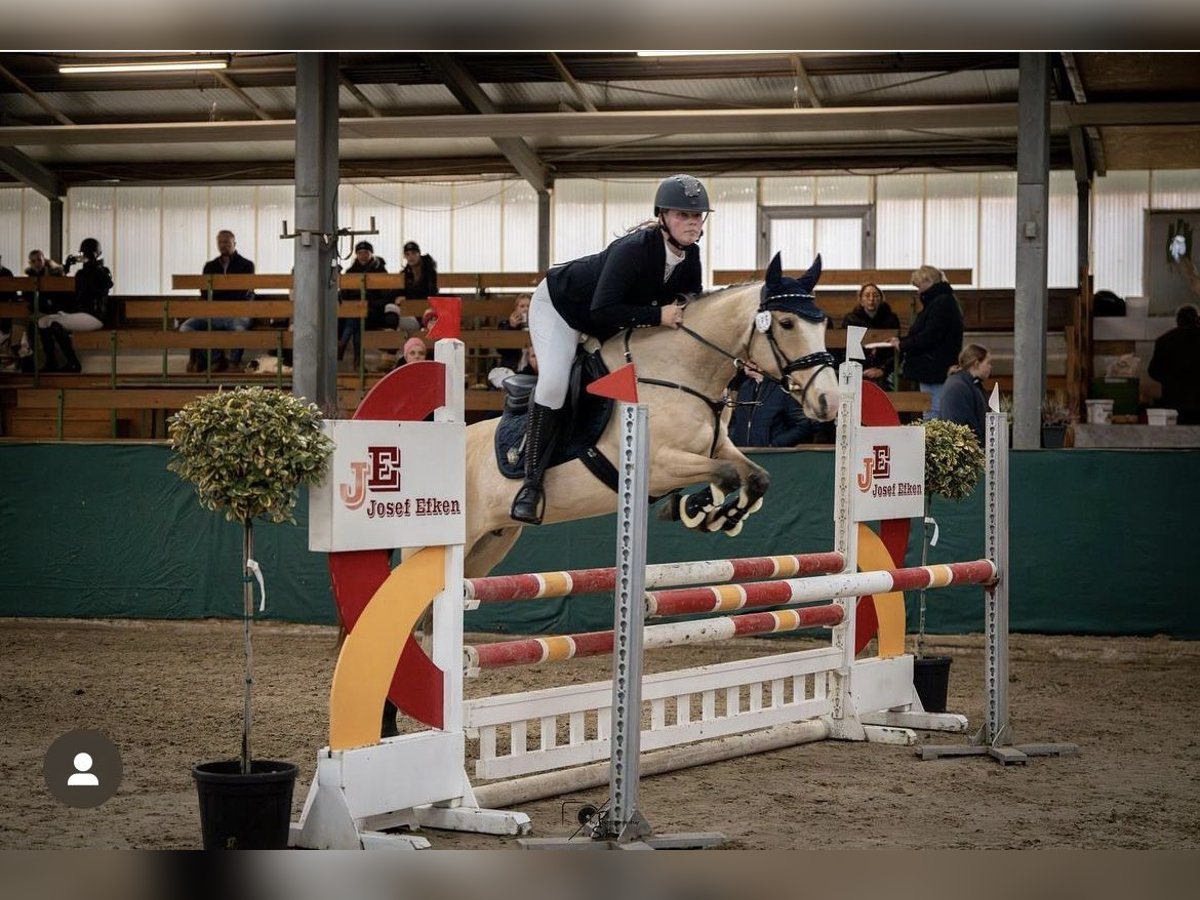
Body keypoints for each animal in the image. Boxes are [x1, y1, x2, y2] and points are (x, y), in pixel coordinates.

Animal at [463, 254, 840, 578]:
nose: (829, 401)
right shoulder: (659, 466)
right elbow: (728, 474)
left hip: (491, 543)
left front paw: (722, 517)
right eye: (787, 323)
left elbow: (757, 477)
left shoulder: (716, 447)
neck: (678, 371)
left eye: (822, 323)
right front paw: (694, 509)